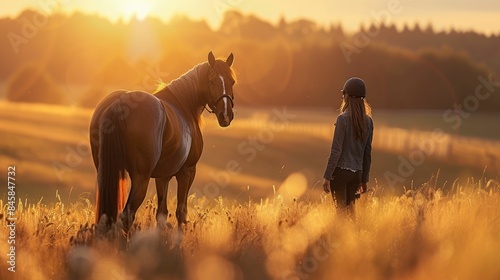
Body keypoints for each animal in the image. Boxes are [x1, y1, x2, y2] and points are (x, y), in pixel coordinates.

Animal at [89, 51, 235, 231]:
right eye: (211, 81)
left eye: (232, 81)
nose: (226, 116)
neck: (183, 105)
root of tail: (120, 103)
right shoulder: (187, 172)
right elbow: (181, 213)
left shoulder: (163, 177)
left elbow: (161, 214)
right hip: (141, 178)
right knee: (127, 216)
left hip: (105, 174)